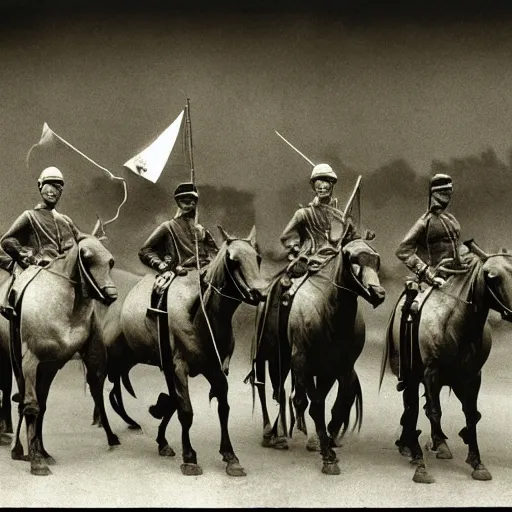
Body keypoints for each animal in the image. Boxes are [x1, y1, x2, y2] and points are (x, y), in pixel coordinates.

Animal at [1, 236, 119, 476]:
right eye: (87, 258)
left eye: (110, 261)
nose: (111, 295)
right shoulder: (30, 360)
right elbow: (31, 405)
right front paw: (36, 461)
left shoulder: (54, 363)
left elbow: (43, 405)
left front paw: (40, 453)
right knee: (20, 399)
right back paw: (18, 447)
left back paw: (37, 449)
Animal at [95, 227, 268, 476]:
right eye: (232, 260)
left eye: (258, 258)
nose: (260, 293)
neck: (201, 315)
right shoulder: (178, 367)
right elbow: (185, 410)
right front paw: (189, 458)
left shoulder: (214, 370)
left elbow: (220, 408)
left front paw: (230, 456)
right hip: (105, 359)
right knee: (98, 392)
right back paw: (110, 436)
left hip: (125, 359)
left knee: (113, 388)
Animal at [250, 238, 386, 474]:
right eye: (353, 261)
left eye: (376, 261)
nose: (378, 293)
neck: (330, 314)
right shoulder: (303, 363)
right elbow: (314, 405)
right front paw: (328, 457)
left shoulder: (337, 369)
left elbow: (334, 405)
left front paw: (327, 441)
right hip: (271, 356)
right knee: (268, 389)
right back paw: (272, 434)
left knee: (288, 395)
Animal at [380, 244, 512, 484]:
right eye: (492, 276)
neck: (459, 323)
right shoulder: (431, 372)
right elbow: (434, 411)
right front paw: (429, 454)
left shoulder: (472, 376)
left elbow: (471, 414)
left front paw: (477, 461)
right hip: (412, 375)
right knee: (412, 405)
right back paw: (411, 445)